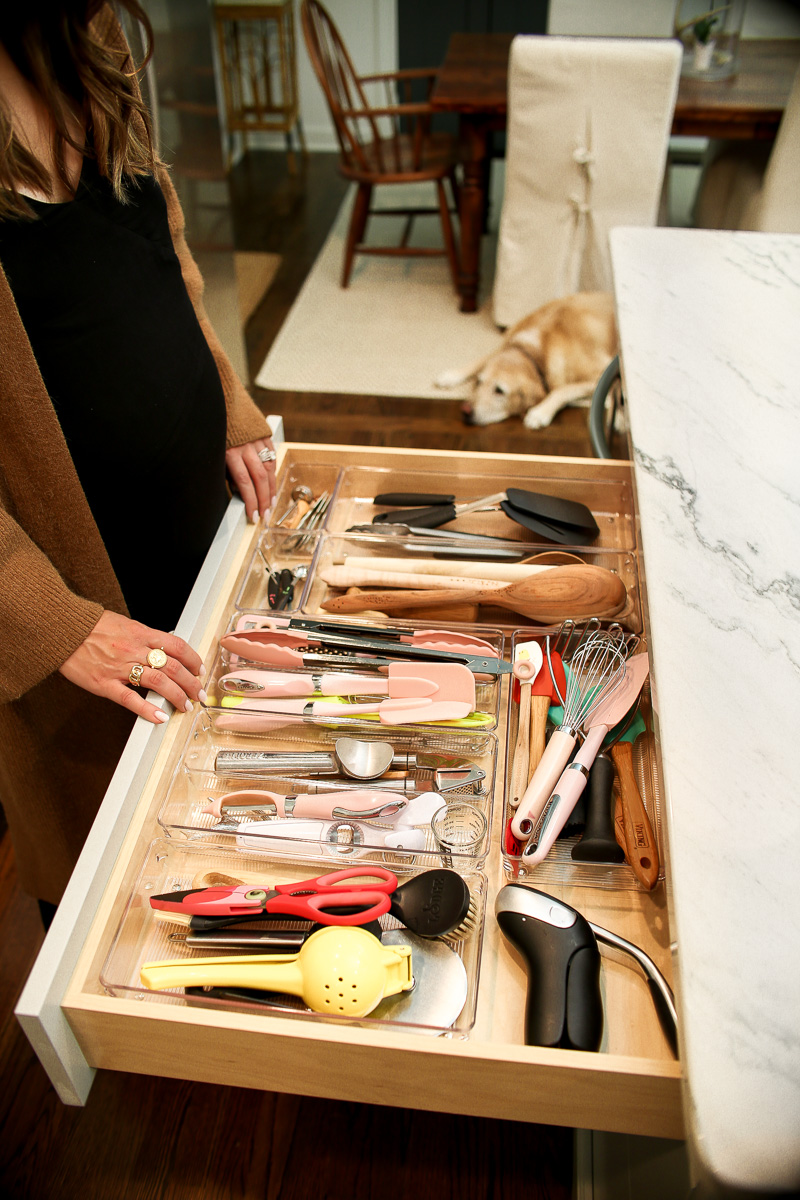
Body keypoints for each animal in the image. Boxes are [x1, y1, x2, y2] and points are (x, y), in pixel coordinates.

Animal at [438, 290, 618, 427]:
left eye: (499, 391)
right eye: (478, 382)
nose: (465, 410)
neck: (534, 353)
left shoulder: (600, 374)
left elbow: (563, 390)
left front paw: (540, 412)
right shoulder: (506, 344)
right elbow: (482, 359)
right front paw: (451, 375)